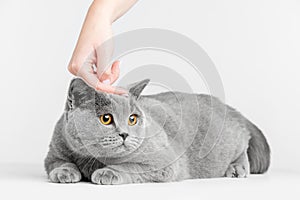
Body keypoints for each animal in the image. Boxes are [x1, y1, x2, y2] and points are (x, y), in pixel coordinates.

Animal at [44, 78, 270, 184]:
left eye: (132, 119)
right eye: (106, 118)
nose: (125, 134)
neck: (91, 159)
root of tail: (227, 107)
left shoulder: (163, 162)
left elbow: (131, 166)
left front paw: (108, 172)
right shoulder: (55, 150)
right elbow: (57, 162)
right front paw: (65, 172)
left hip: (228, 143)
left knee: (243, 146)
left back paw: (237, 168)